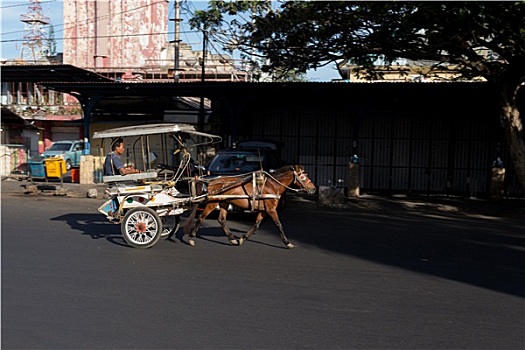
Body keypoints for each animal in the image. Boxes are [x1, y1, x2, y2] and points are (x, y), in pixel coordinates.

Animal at [182, 165, 316, 249]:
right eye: (303, 176)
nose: (314, 189)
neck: (272, 185)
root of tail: (211, 182)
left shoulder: (264, 211)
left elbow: (256, 225)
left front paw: (243, 238)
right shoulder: (271, 209)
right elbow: (279, 225)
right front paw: (287, 243)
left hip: (224, 202)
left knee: (222, 220)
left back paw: (232, 239)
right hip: (212, 203)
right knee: (200, 217)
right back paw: (191, 238)